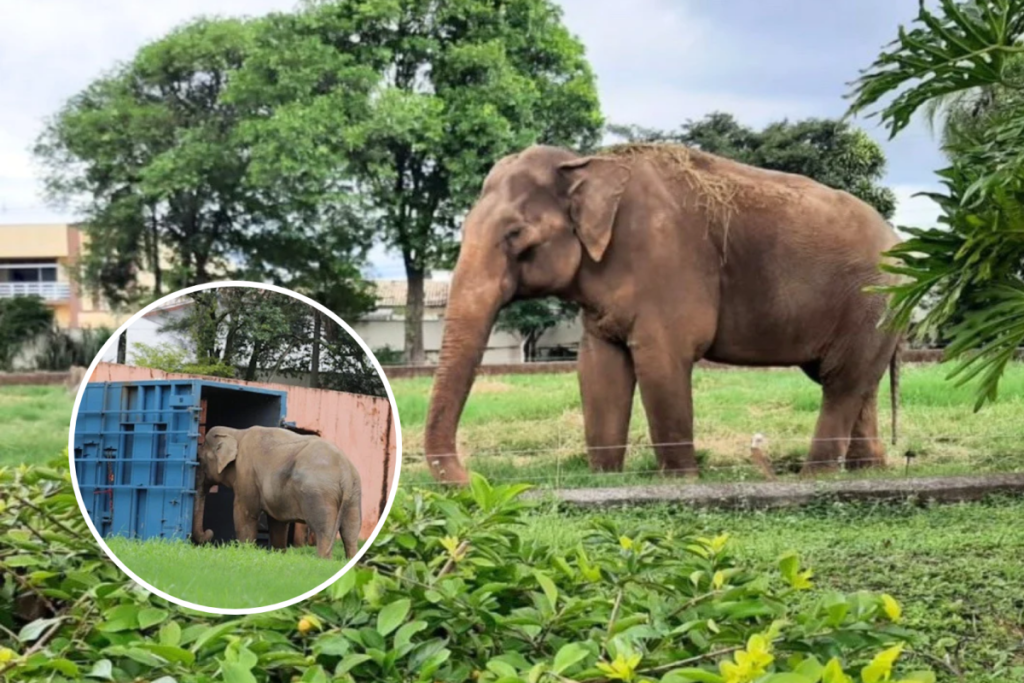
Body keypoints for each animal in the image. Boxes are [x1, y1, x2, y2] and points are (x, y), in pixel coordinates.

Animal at [190, 425, 362, 559]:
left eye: (199, 459)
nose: (209, 532)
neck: (236, 432)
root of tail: (345, 473)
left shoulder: (246, 473)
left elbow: (245, 514)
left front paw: (246, 551)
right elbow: (278, 522)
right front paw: (279, 554)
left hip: (319, 494)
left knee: (324, 531)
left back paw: (322, 561)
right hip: (354, 495)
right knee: (350, 532)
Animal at [422, 143, 902, 485]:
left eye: (516, 234)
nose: (474, 479)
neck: (588, 163)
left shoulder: (666, 262)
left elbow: (661, 363)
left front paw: (682, 480)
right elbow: (598, 369)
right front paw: (605, 479)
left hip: (871, 301)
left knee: (841, 383)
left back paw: (814, 476)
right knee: (856, 383)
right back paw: (868, 470)